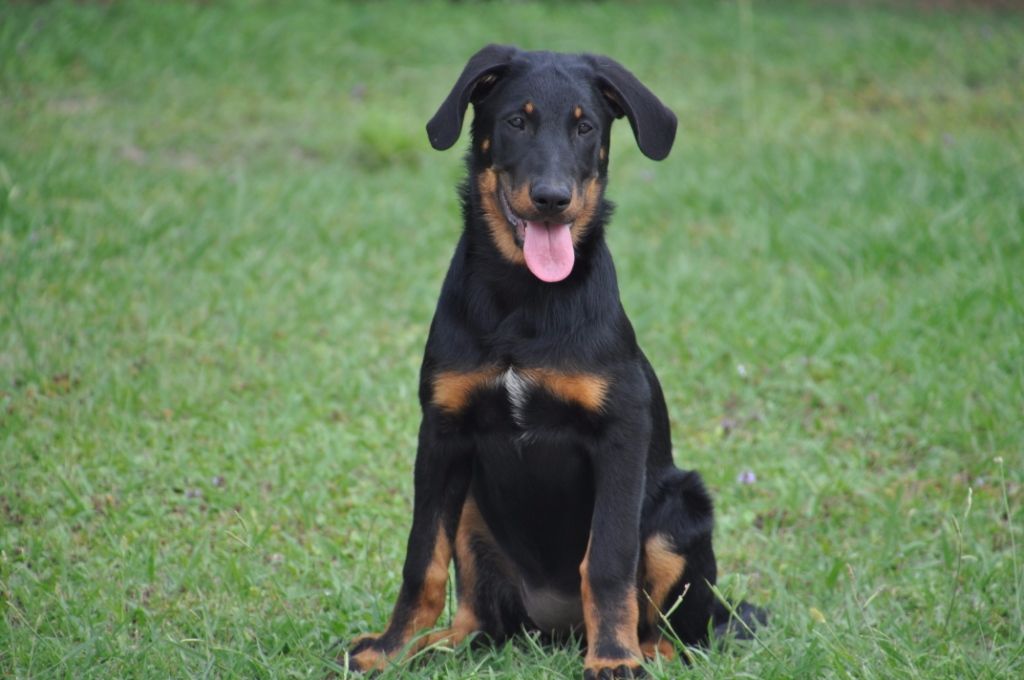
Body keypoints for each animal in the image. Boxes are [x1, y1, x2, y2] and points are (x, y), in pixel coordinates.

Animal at [346, 45, 761, 675]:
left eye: (585, 127)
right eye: (516, 121)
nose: (551, 199)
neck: (524, 299)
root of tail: (557, 631)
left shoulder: (621, 434)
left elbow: (608, 561)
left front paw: (612, 659)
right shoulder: (441, 432)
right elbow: (422, 560)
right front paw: (389, 648)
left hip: (677, 514)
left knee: (684, 635)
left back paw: (641, 650)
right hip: (473, 511)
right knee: (482, 623)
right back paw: (432, 645)